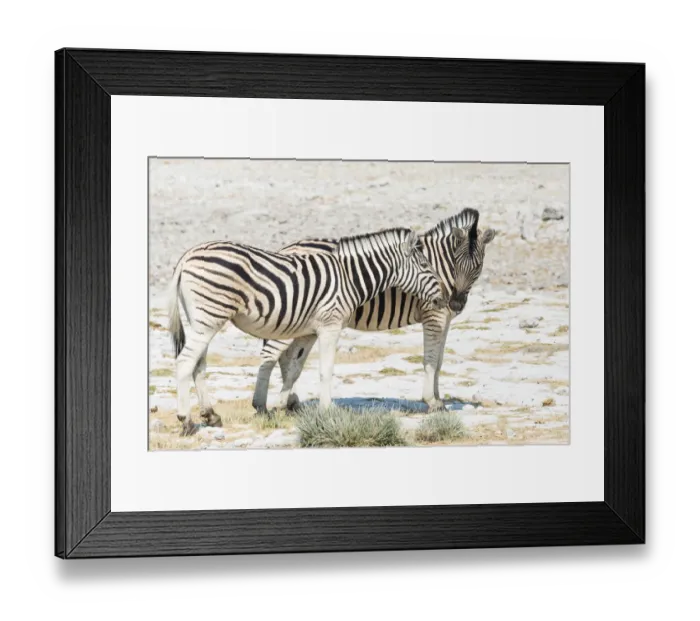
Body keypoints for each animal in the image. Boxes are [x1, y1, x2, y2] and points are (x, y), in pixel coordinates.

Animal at [167, 228, 447, 434]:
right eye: (425, 265)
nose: (445, 298)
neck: (348, 278)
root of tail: (187, 256)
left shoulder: (309, 331)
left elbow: (294, 369)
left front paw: (283, 405)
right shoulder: (330, 326)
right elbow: (325, 370)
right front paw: (327, 411)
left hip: (201, 320)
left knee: (198, 364)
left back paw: (211, 415)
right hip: (209, 317)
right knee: (184, 362)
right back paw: (186, 421)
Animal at [254, 208, 495, 414]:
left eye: (477, 267)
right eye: (456, 263)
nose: (455, 304)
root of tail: (287, 248)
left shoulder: (446, 319)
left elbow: (440, 361)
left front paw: (438, 399)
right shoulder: (433, 316)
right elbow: (431, 359)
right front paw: (431, 401)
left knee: (287, 357)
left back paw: (291, 401)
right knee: (275, 354)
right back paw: (269, 404)